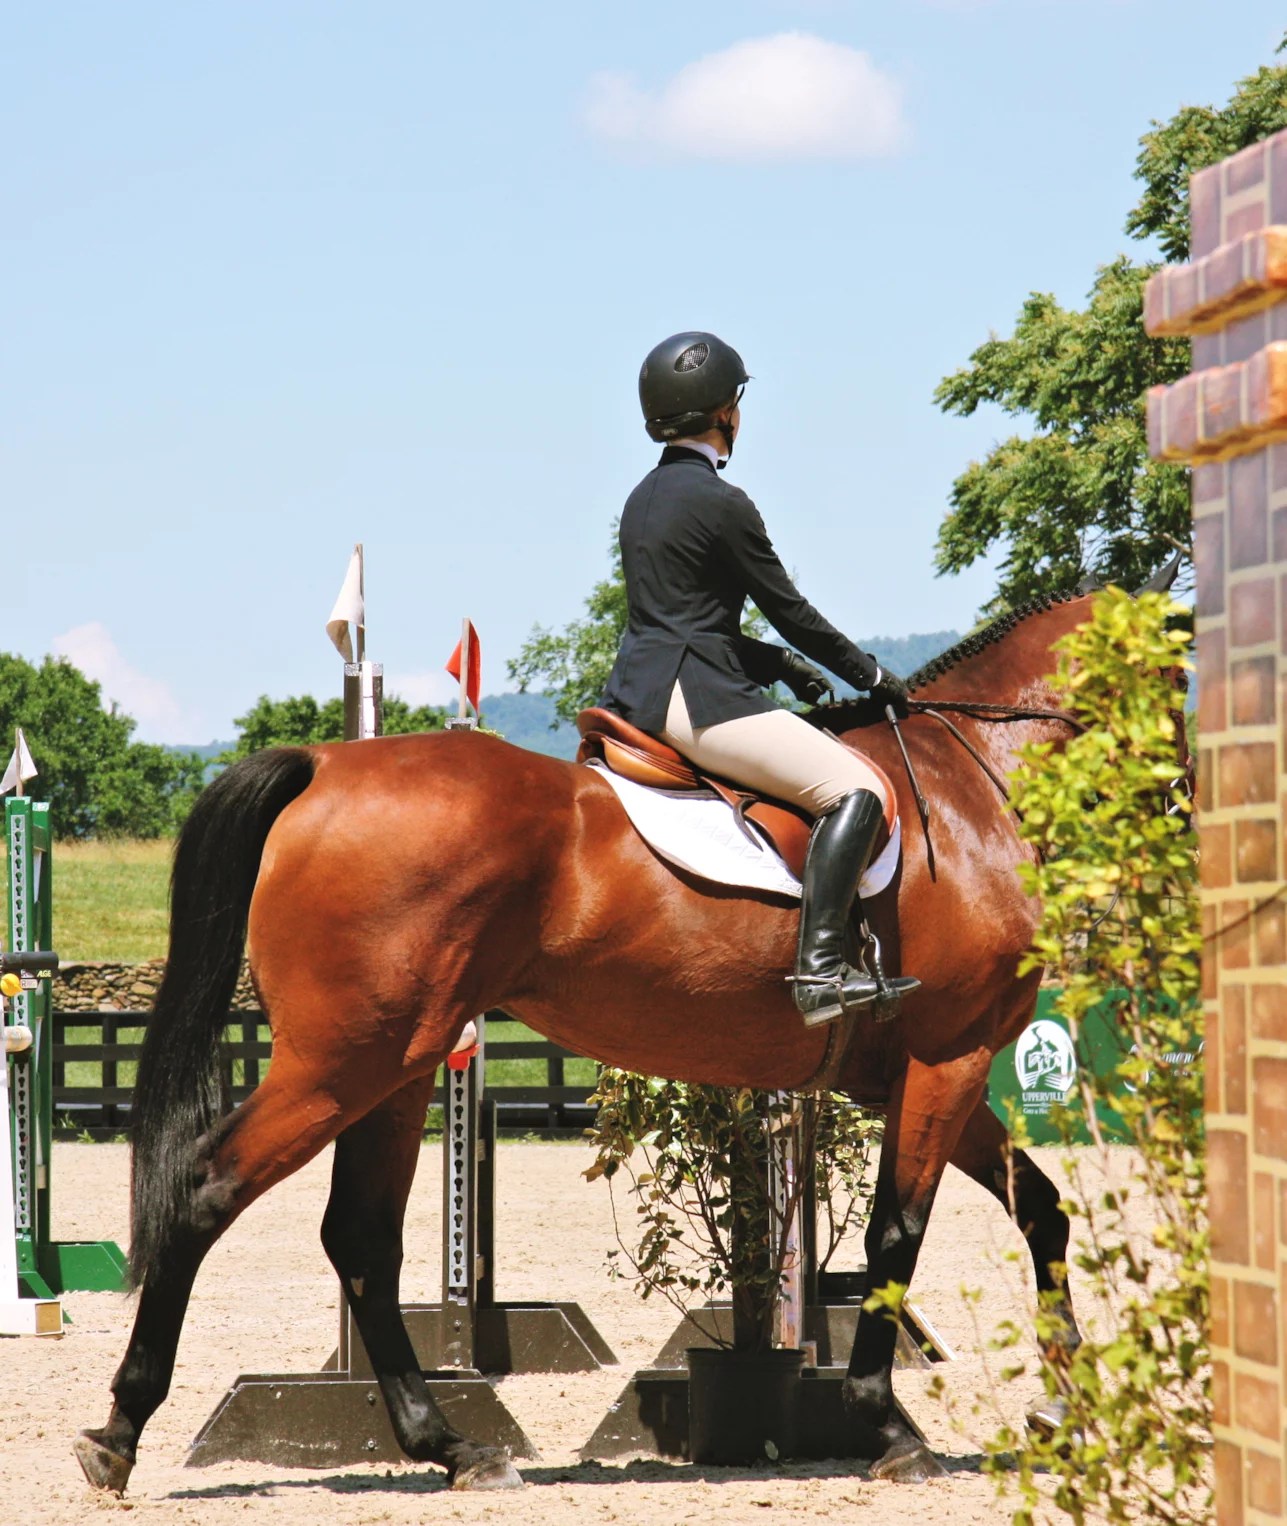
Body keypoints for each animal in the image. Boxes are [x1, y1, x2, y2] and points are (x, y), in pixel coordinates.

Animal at [73, 579, 1183, 1495]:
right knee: (207, 1190)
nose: (1180, 811)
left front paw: (1063, 1410)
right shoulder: (945, 1056)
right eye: (1180, 674)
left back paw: (453, 1446)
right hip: (343, 1063)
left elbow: (1040, 1211)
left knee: (359, 1238)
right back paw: (119, 1432)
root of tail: (322, 766)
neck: (968, 787)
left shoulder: (915, 1070)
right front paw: (890, 1428)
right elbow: (896, 1235)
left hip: (394, 1067)